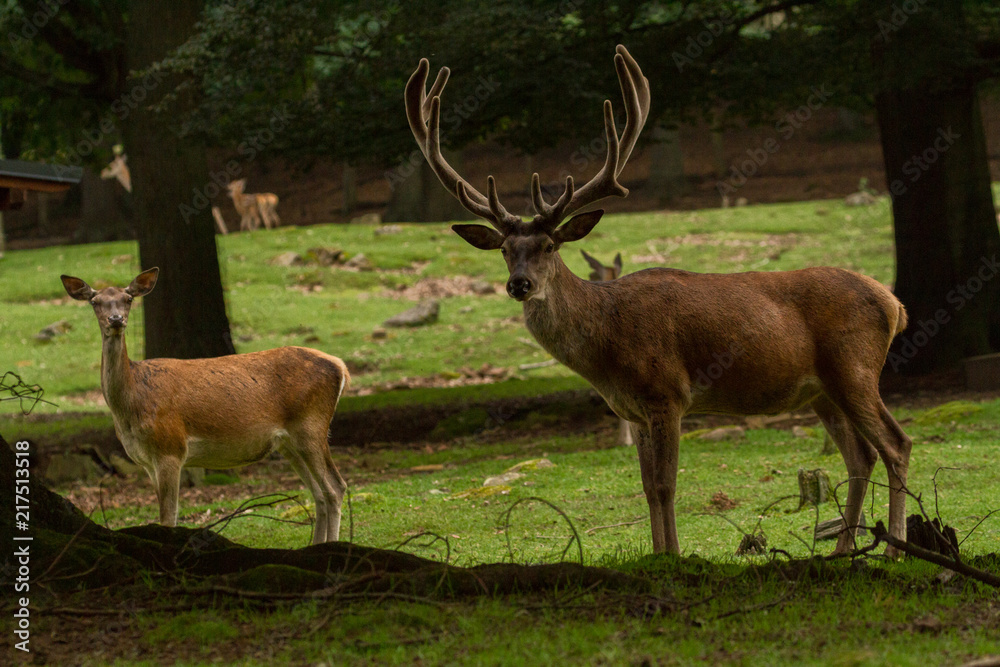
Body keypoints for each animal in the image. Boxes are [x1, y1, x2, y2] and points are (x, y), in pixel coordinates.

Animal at [60, 268, 349, 544]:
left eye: (128, 299)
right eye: (95, 301)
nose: (116, 319)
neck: (132, 406)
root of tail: (340, 366)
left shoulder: (171, 448)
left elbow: (168, 518)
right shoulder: (146, 462)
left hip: (311, 425)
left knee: (336, 488)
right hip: (289, 443)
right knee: (319, 493)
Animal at [405, 45, 912, 556]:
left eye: (549, 246)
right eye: (506, 251)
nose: (520, 285)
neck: (606, 350)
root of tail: (895, 305)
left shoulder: (667, 392)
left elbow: (667, 485)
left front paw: (674, 554)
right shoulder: (635, 411)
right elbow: (648, 488)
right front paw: (659, 554)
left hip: (854, 366)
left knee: (896, 444)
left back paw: (892, 548)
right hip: (821, 391)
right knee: (860, 456)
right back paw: (844, 550)